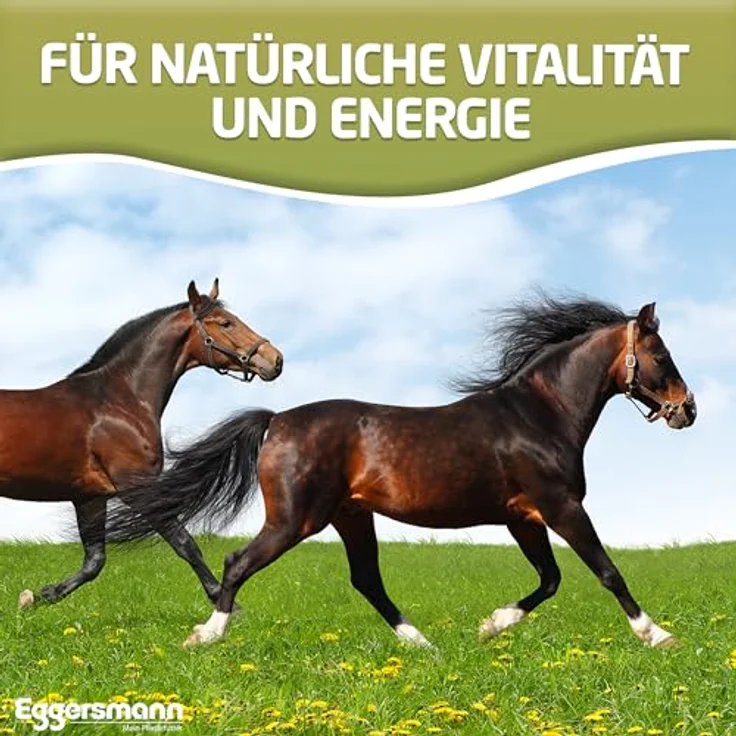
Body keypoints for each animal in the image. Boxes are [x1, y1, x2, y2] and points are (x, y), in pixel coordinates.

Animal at [1, 278, 283, 609]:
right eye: (226, 323)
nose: (275, 360)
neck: (118, 402)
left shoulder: (89, 497)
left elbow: (93, 561)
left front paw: (39, 596)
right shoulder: (138, 490)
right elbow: (186, 544)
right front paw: (222, 599)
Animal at [104, 295, 696, 650]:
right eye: (661, 356)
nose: (687, 410)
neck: (539, 414)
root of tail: (276, 420)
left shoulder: (523, 517)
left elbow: (549, 580)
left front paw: (491, 625)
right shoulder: (561, 507)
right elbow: (606, 571)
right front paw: (657, 635)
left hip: (350, 517)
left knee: (367, 579)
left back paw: (422, 643)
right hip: (295, 520)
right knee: (237, 562)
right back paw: (207, 634)